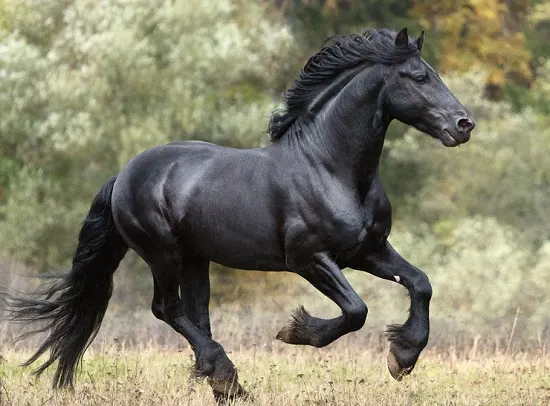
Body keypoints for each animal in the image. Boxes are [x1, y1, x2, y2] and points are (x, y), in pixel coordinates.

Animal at [6, 27, 474, 400]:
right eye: (420, 77)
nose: (464, 125)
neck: (330, 168)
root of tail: (124, 174)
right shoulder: (308, 259)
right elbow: (356, 310)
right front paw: (296, 332)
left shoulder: (368, 251)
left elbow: (421, 283)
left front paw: (403, 356)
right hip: (163, 253)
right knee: (166, 309)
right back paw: (227, 377)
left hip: (196, 258)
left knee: (195, 314)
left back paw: (222, 381)